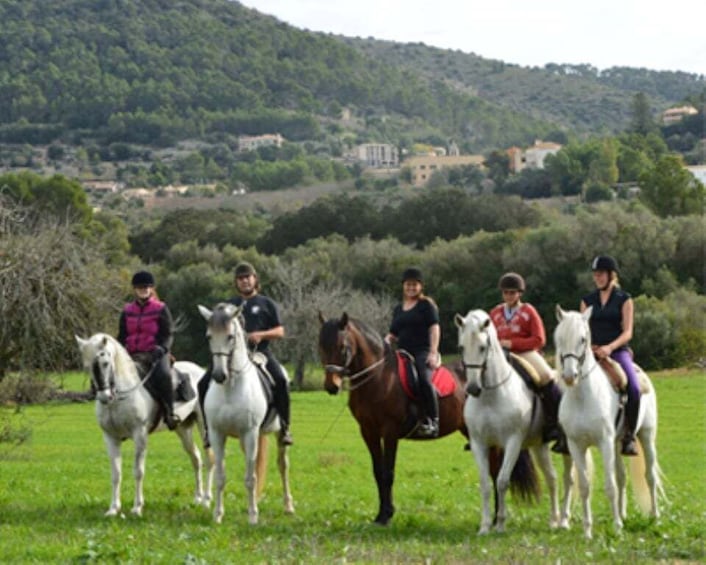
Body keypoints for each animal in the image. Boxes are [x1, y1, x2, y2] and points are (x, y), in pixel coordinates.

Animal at [75, 332, 212, 516]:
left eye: (105, 363)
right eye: (87, 366)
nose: (104, 397)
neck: (119, 398)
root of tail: (200, 371)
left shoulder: (140, 435)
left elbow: (138, 472)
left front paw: (137, 507)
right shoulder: (110, 438)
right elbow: (116, 474)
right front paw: (113, 508)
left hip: (204, 426)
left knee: (210, 459)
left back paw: (206, 500)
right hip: (183, 430)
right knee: (196, 458)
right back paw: (198, 498)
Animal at [197, 304, 292, 524]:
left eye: (230, 336)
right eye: (208, 336)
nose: (219, 375)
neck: (230, 388)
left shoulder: (250, 433)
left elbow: (250, 478)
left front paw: (253, 517)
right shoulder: (217, 434)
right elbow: (221, 477)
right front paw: (218, 515)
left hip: (276, 435)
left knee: (282, 466)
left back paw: (288, 506)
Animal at [316, 310, 536, 524]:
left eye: (342, 347)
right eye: (321, 347)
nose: (331, 386)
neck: (378, 377)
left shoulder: (390, 432)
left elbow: (388, 473)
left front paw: (387, 515)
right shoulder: (368, 432)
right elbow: (378, 472)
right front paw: (380, 515)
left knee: (496, 471)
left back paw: (498, 517)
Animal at [454, 308, 568, 532]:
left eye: (482, 347)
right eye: (461, 347)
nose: (473, 388)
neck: (491, 395)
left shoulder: (513, 442)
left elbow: (502, 481)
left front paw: (500, 524)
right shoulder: (480, 443)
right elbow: (485, 484)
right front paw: (485, 526)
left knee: (571, 478)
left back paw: (565, 521)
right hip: (539, 445)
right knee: (552, 478)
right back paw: (553, 520)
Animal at [552, 308, 664, 536]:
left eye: (583, 339)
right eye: (559, 338)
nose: (569, 376)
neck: (583, 398)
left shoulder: (604, 442)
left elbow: (609, 486)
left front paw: (617, 528)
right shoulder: (576, 446)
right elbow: (584, 486)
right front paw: (587, 531)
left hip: (646, 436)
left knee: (650, 476)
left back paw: (654, 517)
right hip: (618, 442)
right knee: (622, 476)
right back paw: (622, 514)